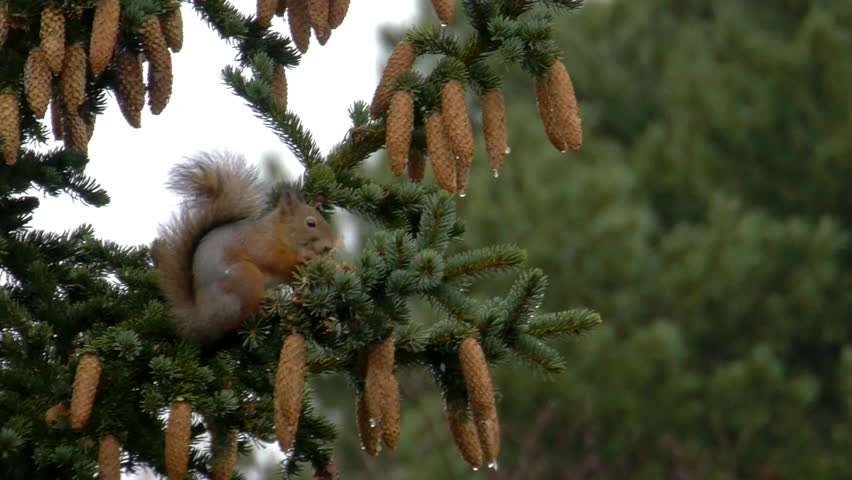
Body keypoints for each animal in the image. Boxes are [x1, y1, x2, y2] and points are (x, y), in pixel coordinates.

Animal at [154, 152, 336, 343]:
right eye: (311, 223)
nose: (330, 246)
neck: (279, 232)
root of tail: (201, 320)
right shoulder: (259, 243)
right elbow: (272, 259)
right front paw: (304, 255)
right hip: (245, 278)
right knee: (240, 317)